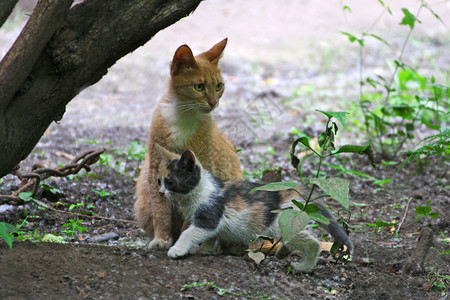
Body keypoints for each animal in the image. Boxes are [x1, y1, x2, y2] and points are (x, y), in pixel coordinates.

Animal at [135, 38, 244, 250]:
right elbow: (160, 210)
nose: (213, 102)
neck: (184, 117)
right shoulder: (155, 168)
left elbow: (193, 214)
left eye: (219, 86)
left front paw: (186, 242)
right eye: (199, 86)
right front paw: (162, 239)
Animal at [156, 144, 354, 274]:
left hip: (282, 223)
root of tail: (292, 191)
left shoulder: (208, 216)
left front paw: (177, 249)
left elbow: (189, 233)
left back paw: (303, 266)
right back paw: (283, 252)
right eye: (159, 181)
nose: (160, 193)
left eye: (171, 183)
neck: (197, 192)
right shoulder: (210, 223)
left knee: (312, 241)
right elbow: (209, 237)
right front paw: (203, 250)